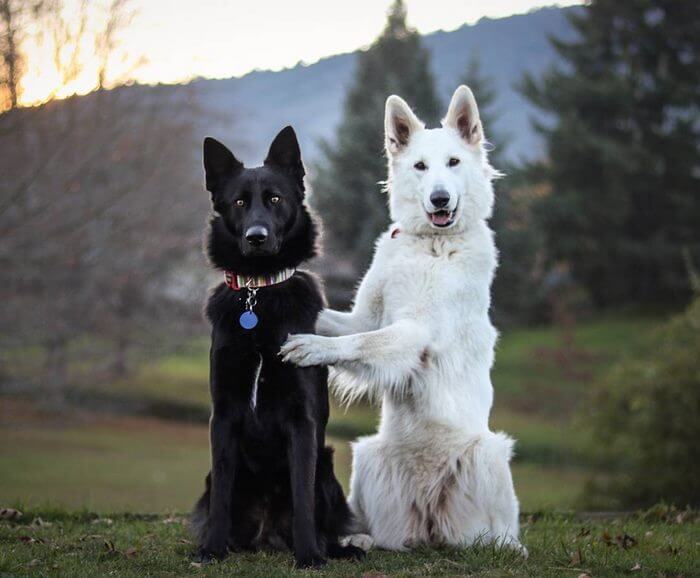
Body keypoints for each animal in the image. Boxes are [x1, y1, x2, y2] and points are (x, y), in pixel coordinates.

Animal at [193, 127, 364, 568]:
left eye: (275, 199)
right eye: (239, 202)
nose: (256, 238)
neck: (259, 295)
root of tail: (267, 533)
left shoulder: (301, 420)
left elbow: (302, 496)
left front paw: (309, 556)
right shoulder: (224, 415)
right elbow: (221, 496)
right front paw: (212, 549)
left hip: (327, 466)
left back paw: (332, 548)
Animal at [282, 84, 524, 548]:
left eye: (453, 163)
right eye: (420, 166)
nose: (439, 198)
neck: (430, 243)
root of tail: (429, 524)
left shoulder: (415, 333)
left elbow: (360, 342)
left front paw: (312, 348)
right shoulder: (365, 317)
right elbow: (341, 324)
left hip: (488, 454)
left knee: (496, 532)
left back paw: (505, 546)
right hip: (366, 456)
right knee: (380, 532)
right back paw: (360, 539)